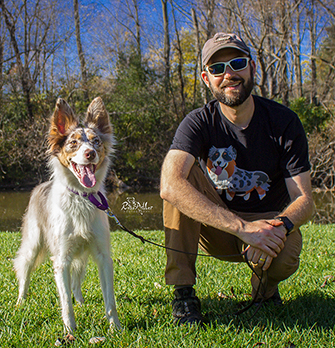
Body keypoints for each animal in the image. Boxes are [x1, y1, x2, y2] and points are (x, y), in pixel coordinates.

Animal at [14, 96, 122, 334]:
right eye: (73, 143)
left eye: (96, 141)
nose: (90, 153)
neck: (81, 197)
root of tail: (40, 186)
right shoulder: (61, 258)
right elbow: (65, 302)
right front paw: (70, 331)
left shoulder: (102, 255)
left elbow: (110, 300)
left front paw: (116, 329)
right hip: (33, 244)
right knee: (24, 270)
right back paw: (20, 301)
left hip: (81, 255)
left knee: (76, 281)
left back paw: (81, 302)